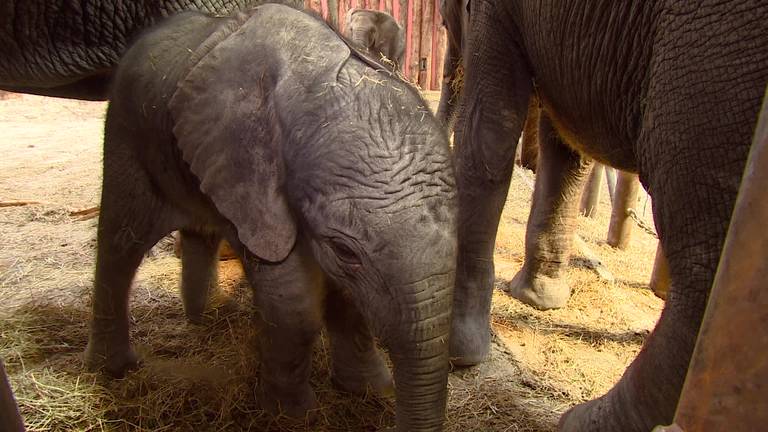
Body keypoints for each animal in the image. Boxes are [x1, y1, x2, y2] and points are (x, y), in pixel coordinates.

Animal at [84, 3, 456, 432]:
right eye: (345, 251)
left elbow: (347, 297)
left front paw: (368, 390)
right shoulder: (250, 174)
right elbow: (293, 302)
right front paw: (291, 415)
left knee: (197, 231)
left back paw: (204, 319)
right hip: (127, 131)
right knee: (121, 243)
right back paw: (113, 369)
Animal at [448, 0, 764, 432]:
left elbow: (488, 133)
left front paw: (457, 353)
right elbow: (566, 147)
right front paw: (539, 299)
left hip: (714, 67)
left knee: (705, 261)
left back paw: (583, 421)